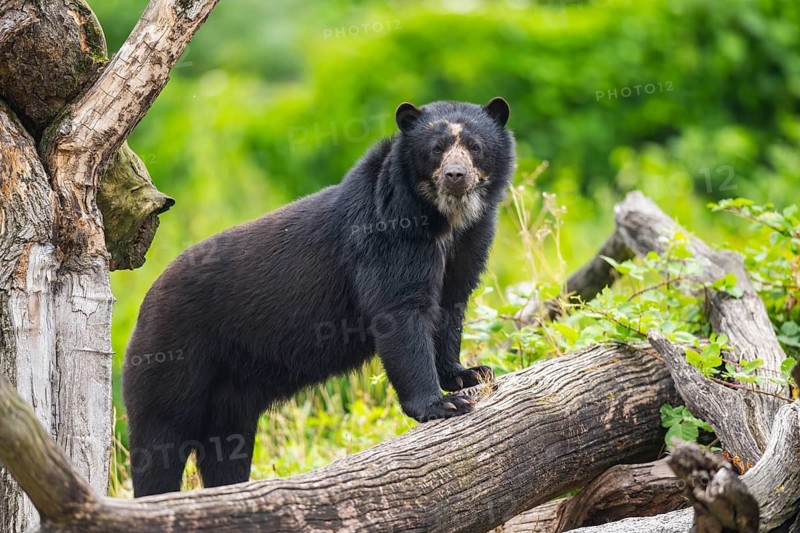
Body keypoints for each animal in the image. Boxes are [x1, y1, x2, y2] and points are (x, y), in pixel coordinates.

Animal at [123, 97, 515, 496]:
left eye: (475, 146)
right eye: (436, 148)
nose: (455, 175)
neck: (443, 221)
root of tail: (146, 302)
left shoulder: (469, 244)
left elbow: (450, 307)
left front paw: (470, 374)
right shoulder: (386, 239)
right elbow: (400, 312)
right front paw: (443, 404)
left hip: (231, 392)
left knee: (227, 446)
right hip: (174, 355)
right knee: (161, 437)